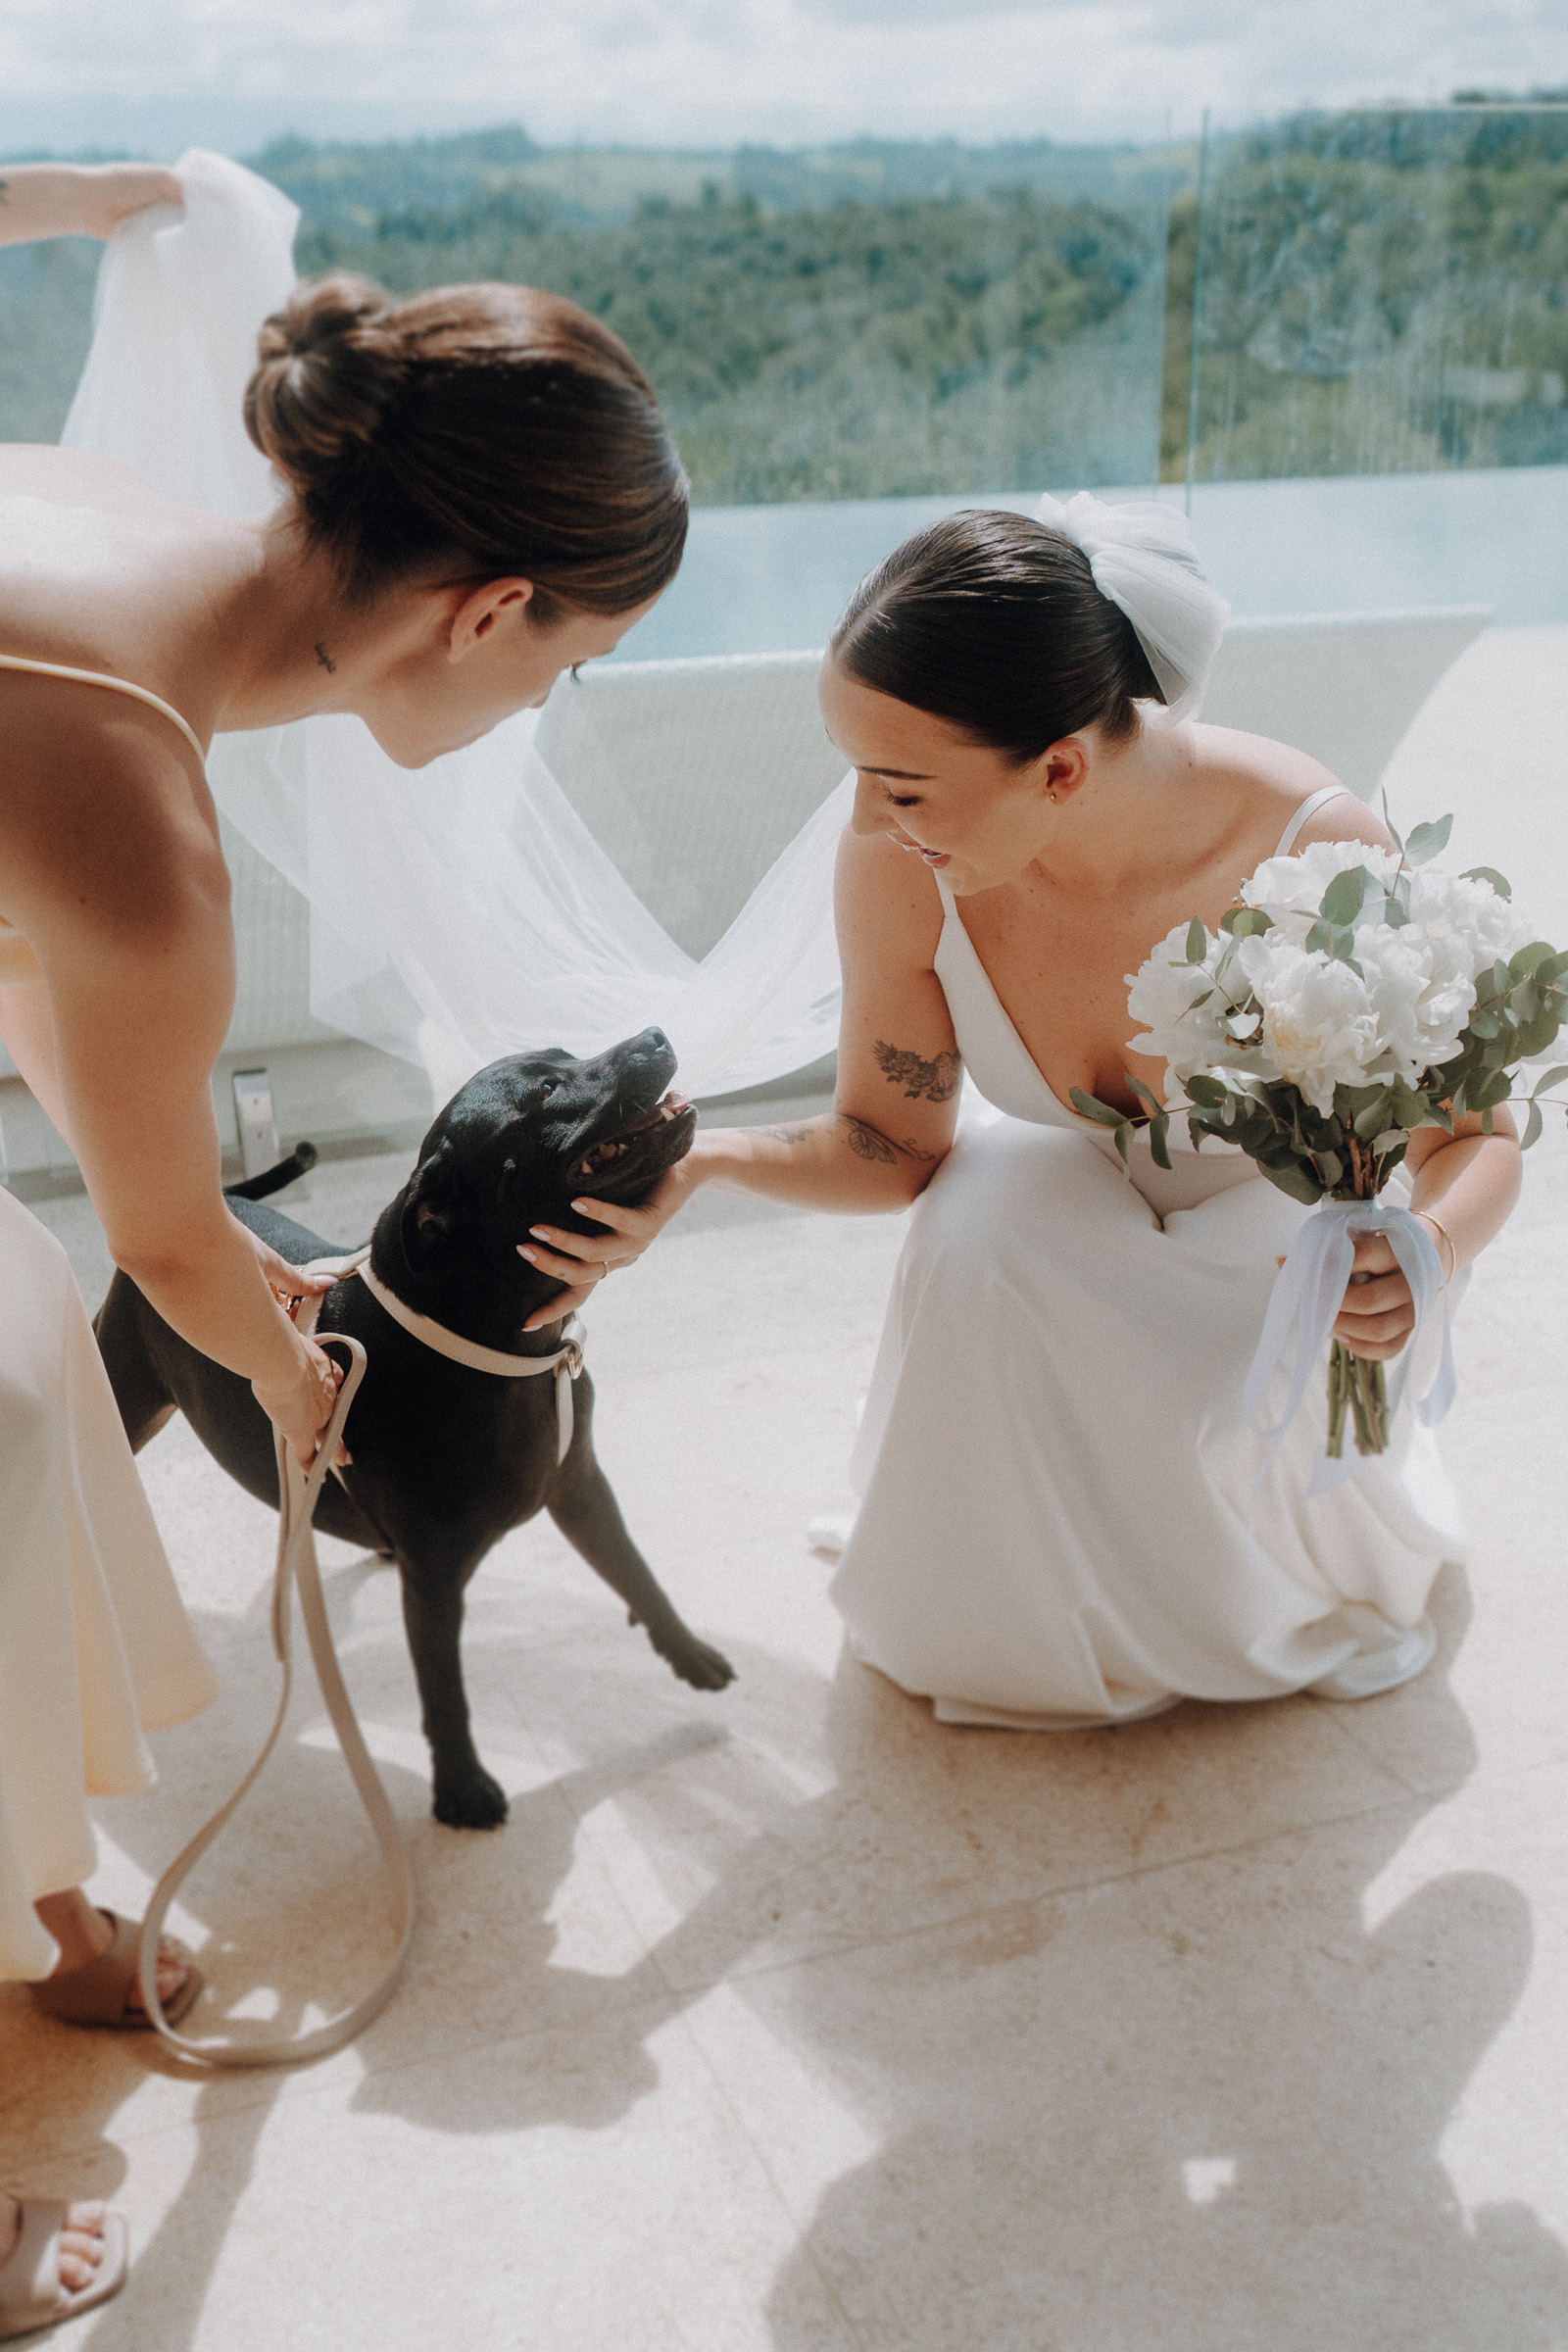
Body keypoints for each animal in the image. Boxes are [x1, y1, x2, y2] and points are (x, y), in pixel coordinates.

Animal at [96, 1025, 738, 1815]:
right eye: (545, 1091)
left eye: (564, 1056)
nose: (654, 1033)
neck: (498, 1350)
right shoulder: (435, 1579)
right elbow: (443, 1688)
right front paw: (461, 1791)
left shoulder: (580, 1484)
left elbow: (637, 1572)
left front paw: (690, 1653)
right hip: (125, 1398)